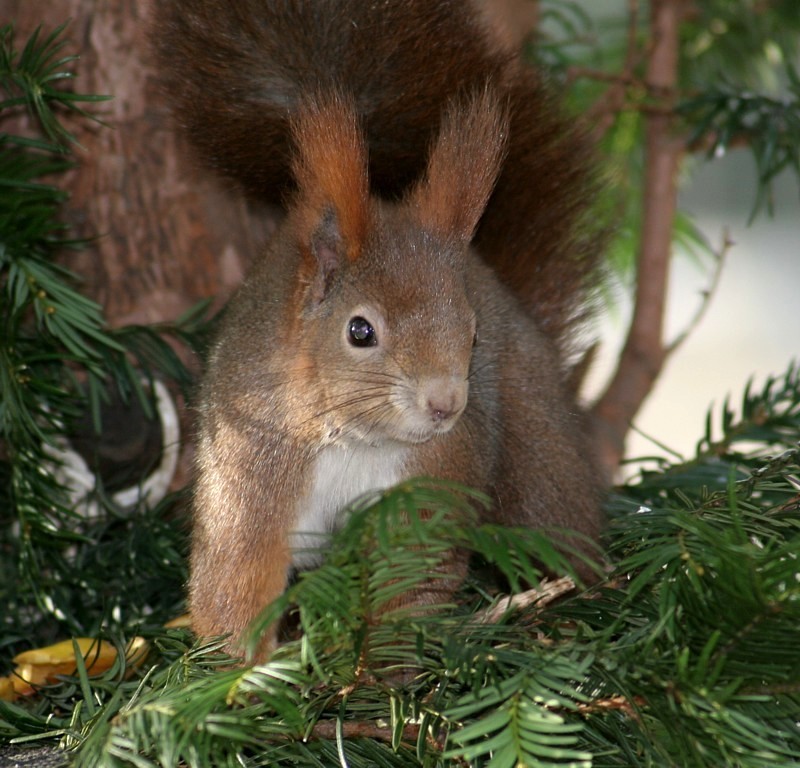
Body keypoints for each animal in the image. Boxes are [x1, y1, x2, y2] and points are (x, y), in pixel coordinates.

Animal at [153, 3, 608, 656]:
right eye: (360, 332)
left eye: (473, 334)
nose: (446, 404)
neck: (356, 440)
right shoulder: (253, 467)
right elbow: (238, 577)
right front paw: (240, 670)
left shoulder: (429, 483)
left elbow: (411, 577)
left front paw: (384, 661)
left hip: (534, 444)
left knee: (554, 520)